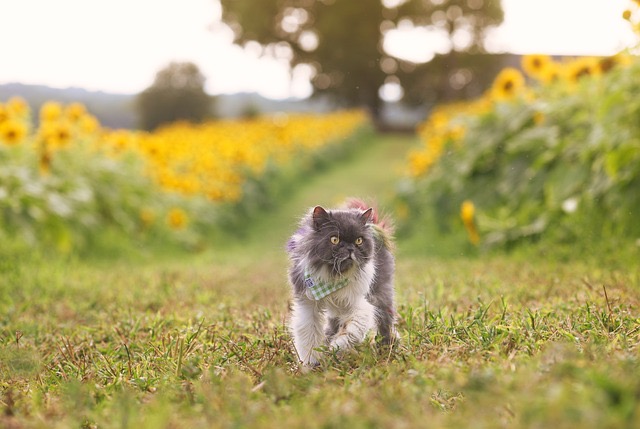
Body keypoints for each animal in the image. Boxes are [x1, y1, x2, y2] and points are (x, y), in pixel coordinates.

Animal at [284, 197, 396, 364]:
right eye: (334, 239)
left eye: (358, 240)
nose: (350, 249)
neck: (334, 276)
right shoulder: (308, 304)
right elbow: (308, 335)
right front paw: (310, 364)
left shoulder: (357, 302)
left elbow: (353, 328)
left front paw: (337, 346)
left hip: (381, 293)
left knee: (385, 320)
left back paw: (387, 347)